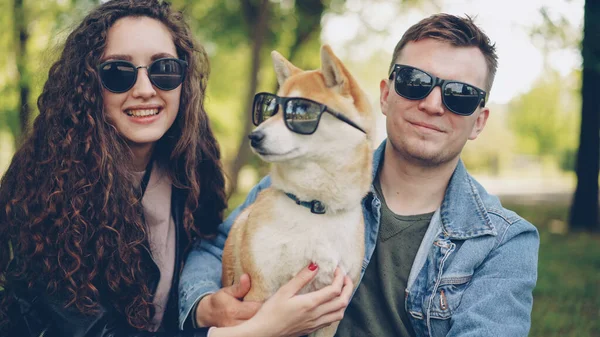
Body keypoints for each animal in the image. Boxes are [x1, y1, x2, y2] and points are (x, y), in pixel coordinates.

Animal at [223, 44, 372, 336]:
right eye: (270, 109)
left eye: (300, 111)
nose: (254, 136)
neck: (315, 207)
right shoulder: (259, 293)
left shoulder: (331, 311)